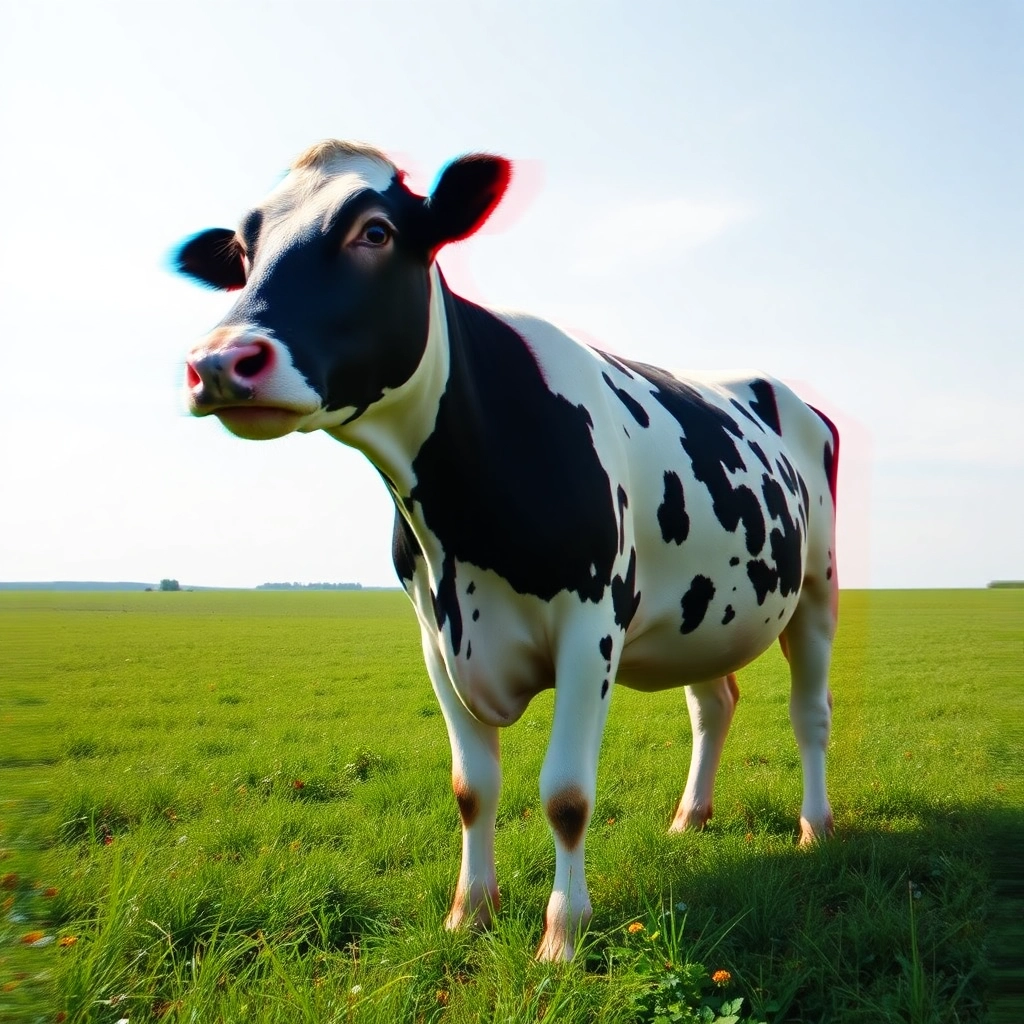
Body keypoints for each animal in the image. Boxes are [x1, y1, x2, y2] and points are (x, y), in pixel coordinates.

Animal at [177, 140, 840, 962]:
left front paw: (563, 934)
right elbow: (472, 789)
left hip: (816, 586)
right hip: (705, 611)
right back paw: (690, 819)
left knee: (808, 713)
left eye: (374, 231)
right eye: (242, 251)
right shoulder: (434, 636)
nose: (220, 361)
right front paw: (471, 912)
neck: (460, 530)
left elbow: (566, 795)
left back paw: (816, 827)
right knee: (713, 704)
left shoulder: (592, 626)